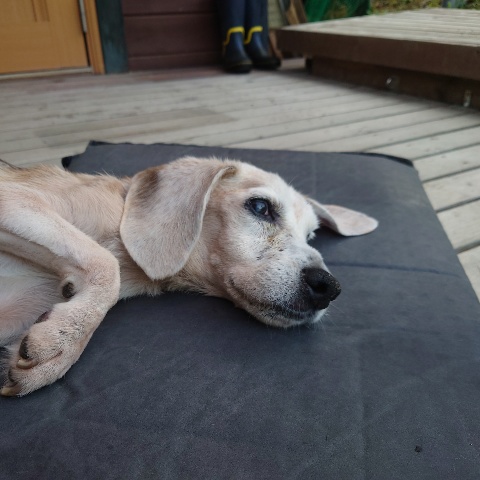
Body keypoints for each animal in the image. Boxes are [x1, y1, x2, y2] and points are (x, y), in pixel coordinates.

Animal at [0, 157, 377, 396]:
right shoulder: (13, 200)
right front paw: (62, 340)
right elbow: (106, 264)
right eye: (260, 207)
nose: (328, 287)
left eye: (311, 235)